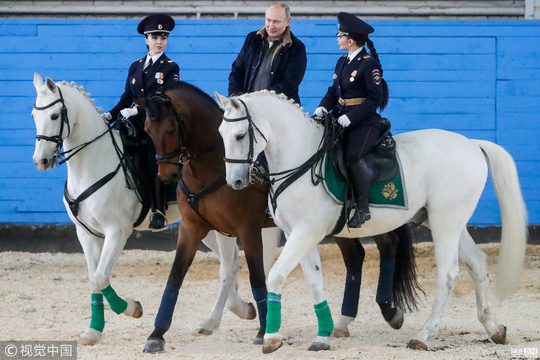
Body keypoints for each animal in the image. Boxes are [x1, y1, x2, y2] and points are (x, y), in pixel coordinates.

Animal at [30, 73, 278, 346]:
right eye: (34, 115)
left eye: (54, 116)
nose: (41, 161)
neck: (91, 164)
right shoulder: (86, 234)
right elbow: (94, 279)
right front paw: (93, 331)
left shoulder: (117, 231)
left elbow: (101, 277)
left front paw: (131, 308)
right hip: (206, 228)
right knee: (231, 263)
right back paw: (231, 313)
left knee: (229, 265)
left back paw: (225, 316)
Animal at [136, 81, 422, 352]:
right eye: (147, 130)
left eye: (170, 129)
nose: (166, 175)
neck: (211, 168)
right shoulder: (198, 227)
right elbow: (180, 276)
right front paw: (157, 334)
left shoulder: (248, 229)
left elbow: (256, 276)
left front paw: (264, 330)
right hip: (336, 227)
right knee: (355, 258)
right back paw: (343, 322)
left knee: (388, 245)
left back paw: (389, 311)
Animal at [215, 89, 528, 352]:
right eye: (221, 133)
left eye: (240, 136)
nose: (235, 182)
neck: (300, 160)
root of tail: (472, 144)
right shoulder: (298, 234)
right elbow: (314, 282)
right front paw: (322, 336)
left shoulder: (306, 232)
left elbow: (277, 275)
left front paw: (271, 337)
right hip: (447, 222)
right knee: (477, 263)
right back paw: (494, 328)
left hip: (445, 223)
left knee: (448, 274)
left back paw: (424, 336)